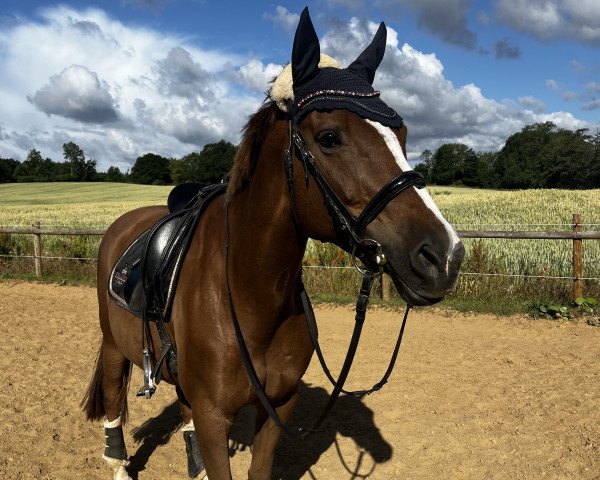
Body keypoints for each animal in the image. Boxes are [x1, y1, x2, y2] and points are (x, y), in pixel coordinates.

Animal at [81, 8, 464, 480]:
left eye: (404, 134)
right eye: (330, 137)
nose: (445, 255)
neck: (250, 294)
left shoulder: (278, 406)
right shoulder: (213, 417)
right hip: (114, 345)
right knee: (114, 400)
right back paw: (118, 462)